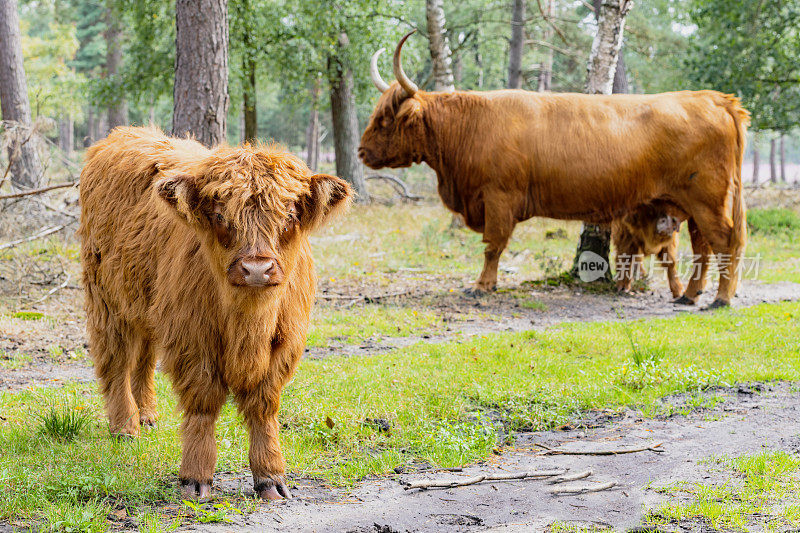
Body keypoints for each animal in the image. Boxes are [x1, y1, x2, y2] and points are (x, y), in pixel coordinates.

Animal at [79, 127, 352, 500]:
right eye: (221, 217)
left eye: (290, 216)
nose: (256, 269)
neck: (248, 324)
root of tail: (127, 133)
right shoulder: (192, 339)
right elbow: (203, 403)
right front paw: (195, 479)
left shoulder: (285, 343)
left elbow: (263, 406)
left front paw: (271, 477)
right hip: (105, 299)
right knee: (116, 361)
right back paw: (125, 428)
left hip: (147, 303)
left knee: (144, 357)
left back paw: (147, 416)